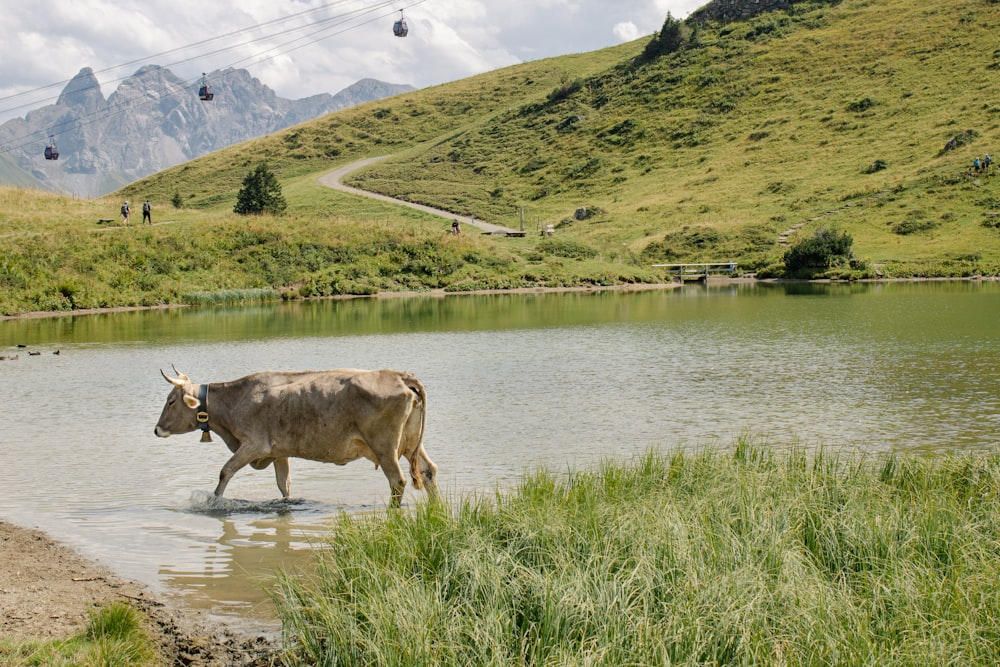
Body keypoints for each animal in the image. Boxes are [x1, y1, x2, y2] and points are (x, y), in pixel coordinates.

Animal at [154, 366, 436, 506]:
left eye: (171, 401)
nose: (156, 429)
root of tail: (399, 376)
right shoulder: (279, 452)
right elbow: (284, 484)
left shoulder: (253, 445)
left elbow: (225, 471)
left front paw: (214, 501)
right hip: (411, 443)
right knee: (427, 470)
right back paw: (435, 511)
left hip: (384, 446)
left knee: (398, 481)